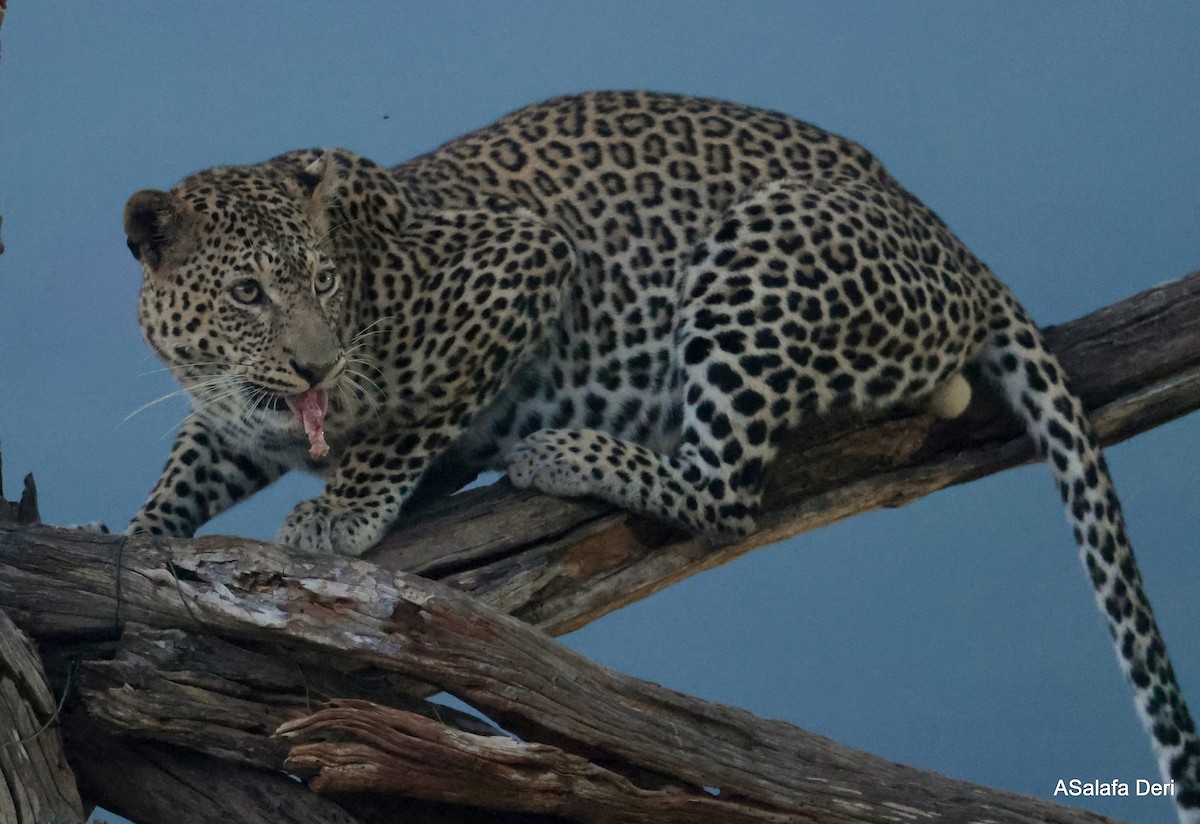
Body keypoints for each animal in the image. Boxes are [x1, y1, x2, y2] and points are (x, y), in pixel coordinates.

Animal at [122, 91, 1197, 819]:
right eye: (250, 293)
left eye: (325, 282)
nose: (317, 360)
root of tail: (957, 245)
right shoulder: (234, 412)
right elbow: (191, 463)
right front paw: (138, 538)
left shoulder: (518, 263)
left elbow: (403, 426)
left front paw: (344, 508)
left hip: (759, 249)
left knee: (728, 494)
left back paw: (563, 452)